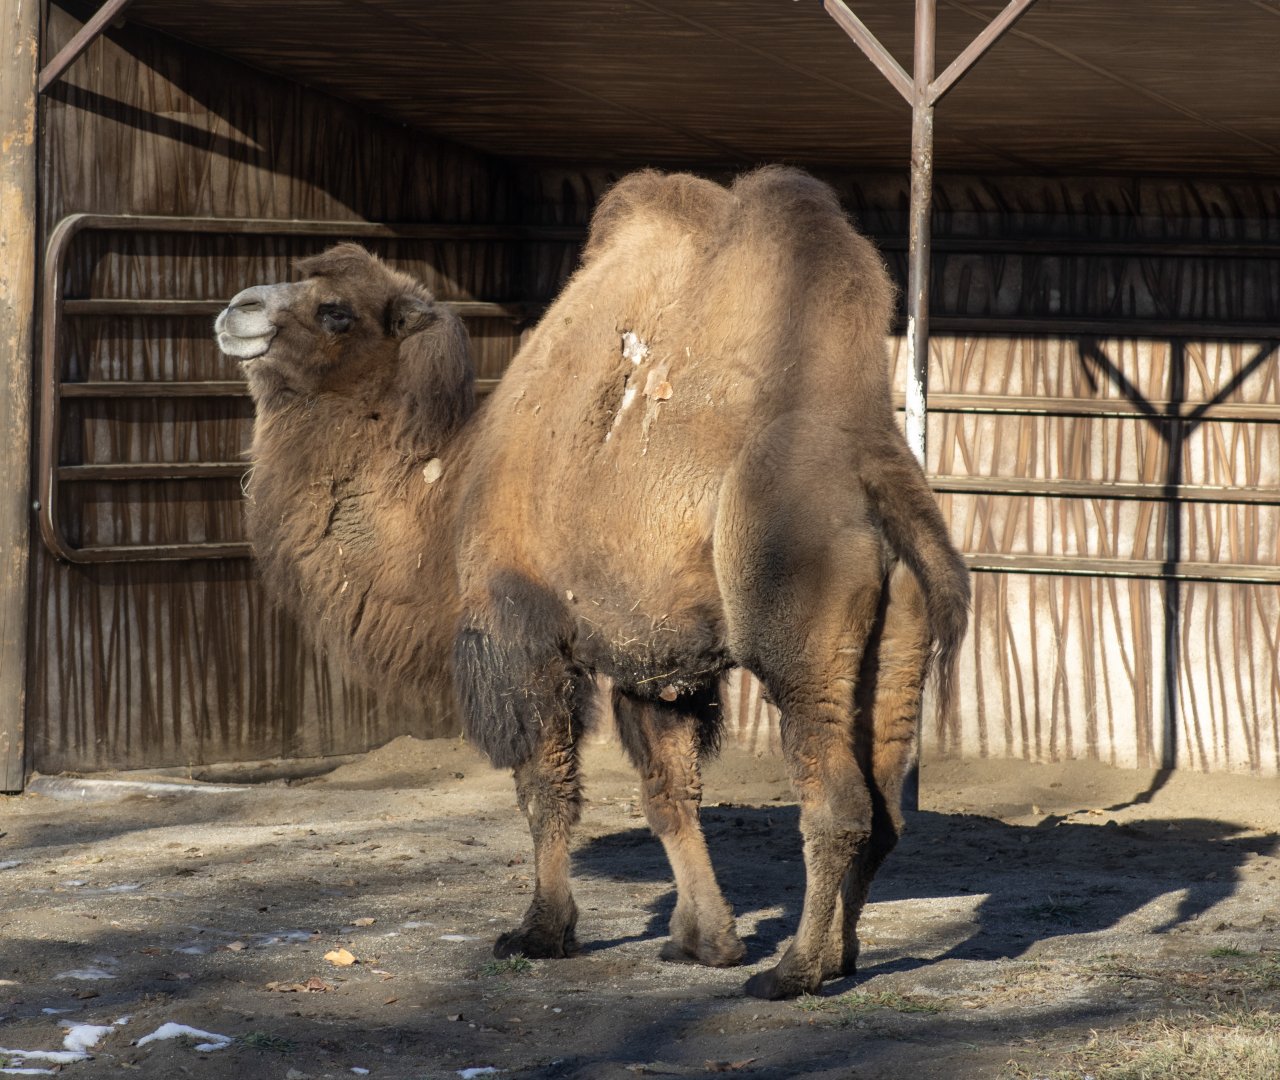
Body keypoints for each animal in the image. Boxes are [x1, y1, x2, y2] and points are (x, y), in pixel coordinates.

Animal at [215, 166, 970, 999]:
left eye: (336, 311)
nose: (236, 308)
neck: (449, 493)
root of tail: (874, 467)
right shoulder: (658, 661)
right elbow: (668, 795)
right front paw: (704, 941)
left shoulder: (521, 630)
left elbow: (545, 788)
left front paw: (542, 931)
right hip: (897, 642)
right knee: (885, 805)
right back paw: (839, 957)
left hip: (796, 634)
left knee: (836, 800)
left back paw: (792, 972)